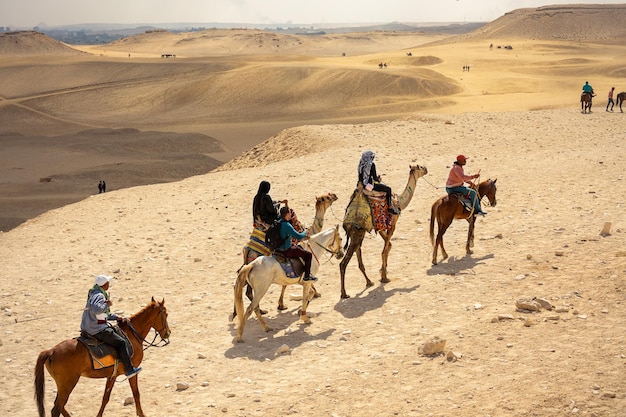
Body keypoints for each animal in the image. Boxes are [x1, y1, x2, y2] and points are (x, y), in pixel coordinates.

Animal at [34, 296, 169, 416]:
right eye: (166, 314)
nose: (168, 333)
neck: (132, 334)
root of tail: (51, 351)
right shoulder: (132, 371)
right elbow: (136, 393)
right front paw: (141, 413)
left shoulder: (112, 375)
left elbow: (105, 397)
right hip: (67, 384)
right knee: (57, 408)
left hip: (63, 385)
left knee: (59, 406)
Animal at [336, 164, 428, 298]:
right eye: (420, 167)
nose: (426, 169)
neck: (398, 201)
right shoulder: (393, 223)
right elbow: (385, 249)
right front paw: (384, 277)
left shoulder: (380, 227)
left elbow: (388, 245)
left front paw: (382, 271)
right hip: (357, 233)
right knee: (343, 263)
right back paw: (344, 294)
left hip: (358, 233)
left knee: (358, 256)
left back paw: (369, 282)